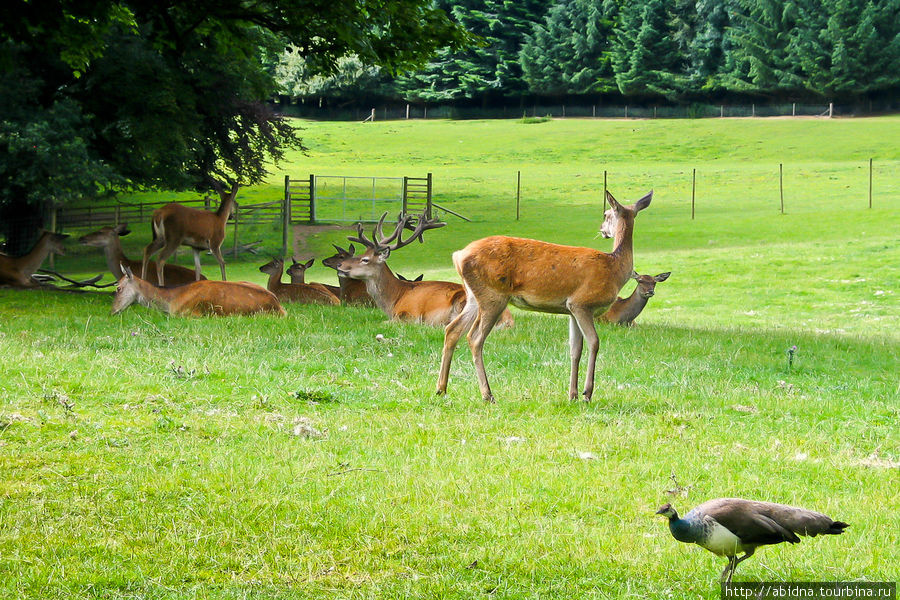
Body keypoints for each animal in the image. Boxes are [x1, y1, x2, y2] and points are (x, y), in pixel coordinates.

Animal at [338, 213, 512, 328]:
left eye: (365, 260)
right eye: (360, 254)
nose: (340, 266)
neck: (394, 298)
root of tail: (508, 319)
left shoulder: (410, 313)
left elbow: (383, 322)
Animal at [434, 189, 648, 404]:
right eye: (606, 214)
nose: (602, 229)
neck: (614, 269)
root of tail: (458, 255)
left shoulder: (571, 309)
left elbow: (575, 349)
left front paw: (572, 394)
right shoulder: (582, 302)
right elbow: (594, 342)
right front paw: (587, 393)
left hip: (473, 296)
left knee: (452, 329)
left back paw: (441, 389)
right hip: (493, 296)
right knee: (474, 337)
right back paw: (487, 394)